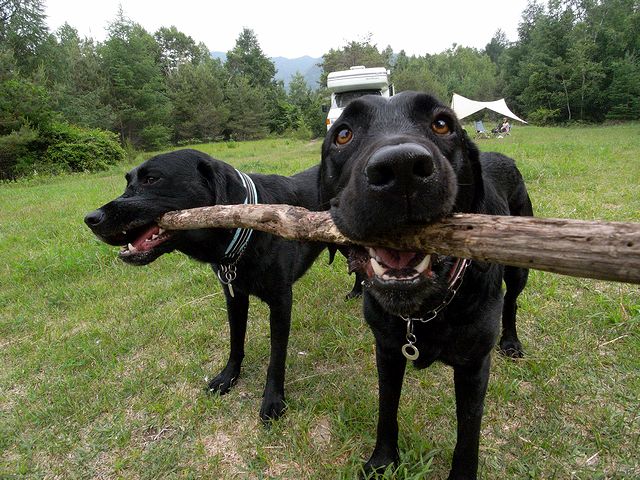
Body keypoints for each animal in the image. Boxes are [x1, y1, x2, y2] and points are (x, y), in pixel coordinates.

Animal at [85, 148, 330, 422]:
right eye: (128, 182)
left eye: (152, 179)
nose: (90, 218)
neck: (247, 231)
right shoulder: (234, 296)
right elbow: (236, 341)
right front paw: (228, 377)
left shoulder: (281, 302)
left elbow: (277, 356)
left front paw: (273, 400)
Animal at [318, 92, 532, 478]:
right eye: (342, 134)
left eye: (442, 123)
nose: (401, 168)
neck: (422, 311)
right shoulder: (387, 349)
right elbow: (387, 408)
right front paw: (383, 460)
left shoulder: (474, 367)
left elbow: (468, 437)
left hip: (519, 266)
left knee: (512, 302)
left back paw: (511, 341)